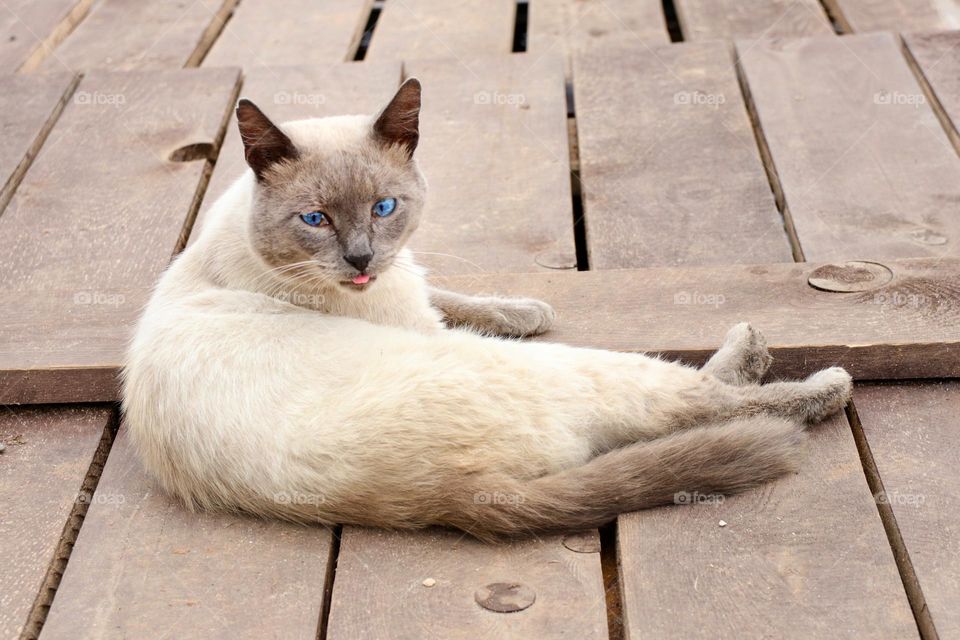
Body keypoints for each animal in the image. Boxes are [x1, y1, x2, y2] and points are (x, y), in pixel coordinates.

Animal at [124, 79, 852, 540]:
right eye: (316, 220)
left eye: (384, 208)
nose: (359, 259)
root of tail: (446, 493)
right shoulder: (412, 317)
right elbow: (446, 307)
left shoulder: (409, 281)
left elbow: (455, 295)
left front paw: (528, 307)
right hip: (571, 372)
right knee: (702, 402)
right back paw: (794, 369)